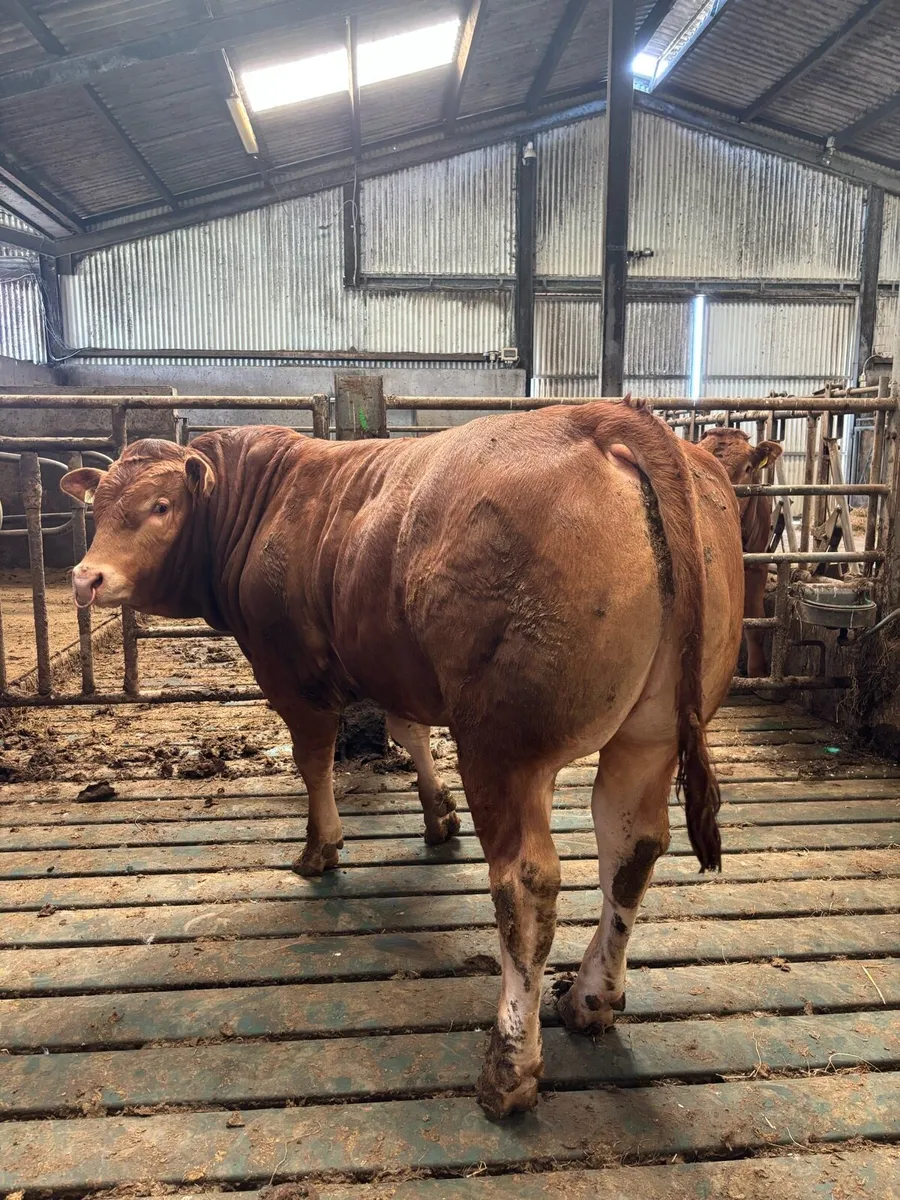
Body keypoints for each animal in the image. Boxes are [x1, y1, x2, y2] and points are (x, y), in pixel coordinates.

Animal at [61, 399, 744, 1119]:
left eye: (161, 506)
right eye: (98, 506)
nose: (86, 577)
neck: (269, 497)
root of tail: (604, 417)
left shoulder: (287, 670)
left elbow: (313, 758)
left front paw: (320, 848)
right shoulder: (395, 663)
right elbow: (408, 730)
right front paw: (437, 816)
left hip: (504, 742)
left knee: (526, 882)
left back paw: (510, 1065)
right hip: (650, 735)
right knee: (631, 848)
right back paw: (591, 997)